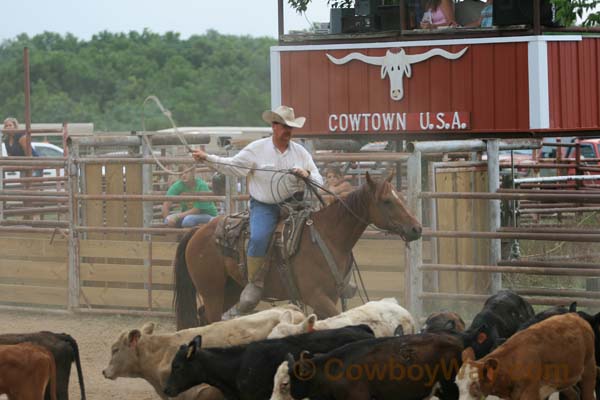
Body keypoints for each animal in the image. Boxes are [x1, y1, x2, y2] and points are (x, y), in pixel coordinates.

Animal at [173, 172, 422, 328]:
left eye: (400, 196)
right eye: (387, 200)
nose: (416, 228)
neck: (329, 237)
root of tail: (198, 230)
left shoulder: (330, 295)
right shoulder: (316, 296)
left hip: (231, 288)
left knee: (203, 316)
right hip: (211, 290)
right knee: (211, 318)